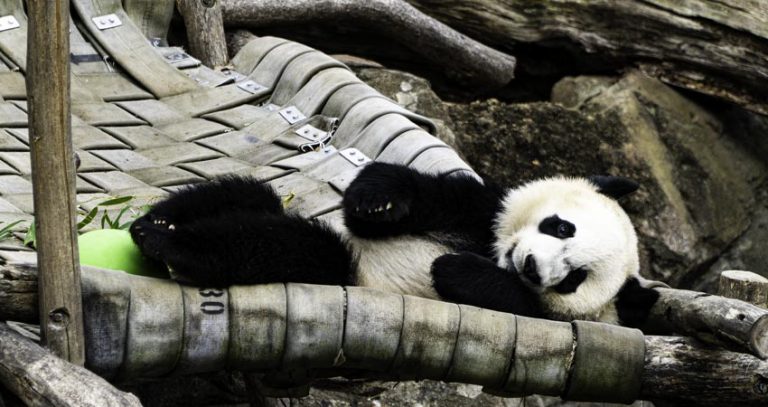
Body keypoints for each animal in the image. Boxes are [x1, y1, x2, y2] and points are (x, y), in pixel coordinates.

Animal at [129, 163, 656, 328]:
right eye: (562, 227)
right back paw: (158, 222)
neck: (493, 252)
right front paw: (378, 202)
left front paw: (453, 270)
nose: (529, 265)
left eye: (573, 280)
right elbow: (421, 195)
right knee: (250, 196)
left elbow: (520, 305)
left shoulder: (558, 318)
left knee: (291, 246)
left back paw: (171, 246)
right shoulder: (480, 212)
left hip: (336, 269)